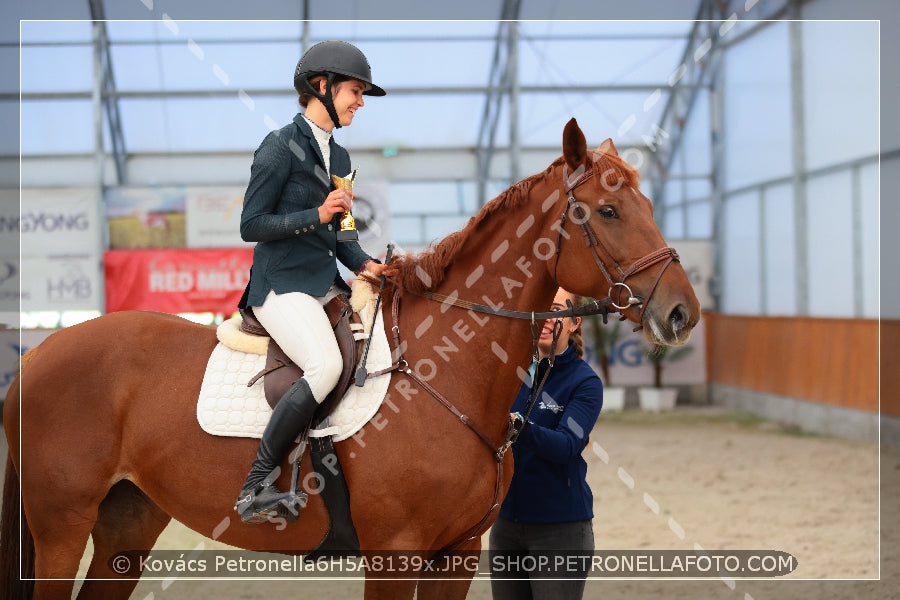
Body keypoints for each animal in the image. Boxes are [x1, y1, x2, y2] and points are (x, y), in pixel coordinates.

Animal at [1, 118, 704, 600]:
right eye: (608, 211)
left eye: (646, 205)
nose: (682, 313)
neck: (444, 371)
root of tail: (38, 356)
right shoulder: (394, 553)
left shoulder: (457, 552)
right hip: (60, 526)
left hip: (127, 523)